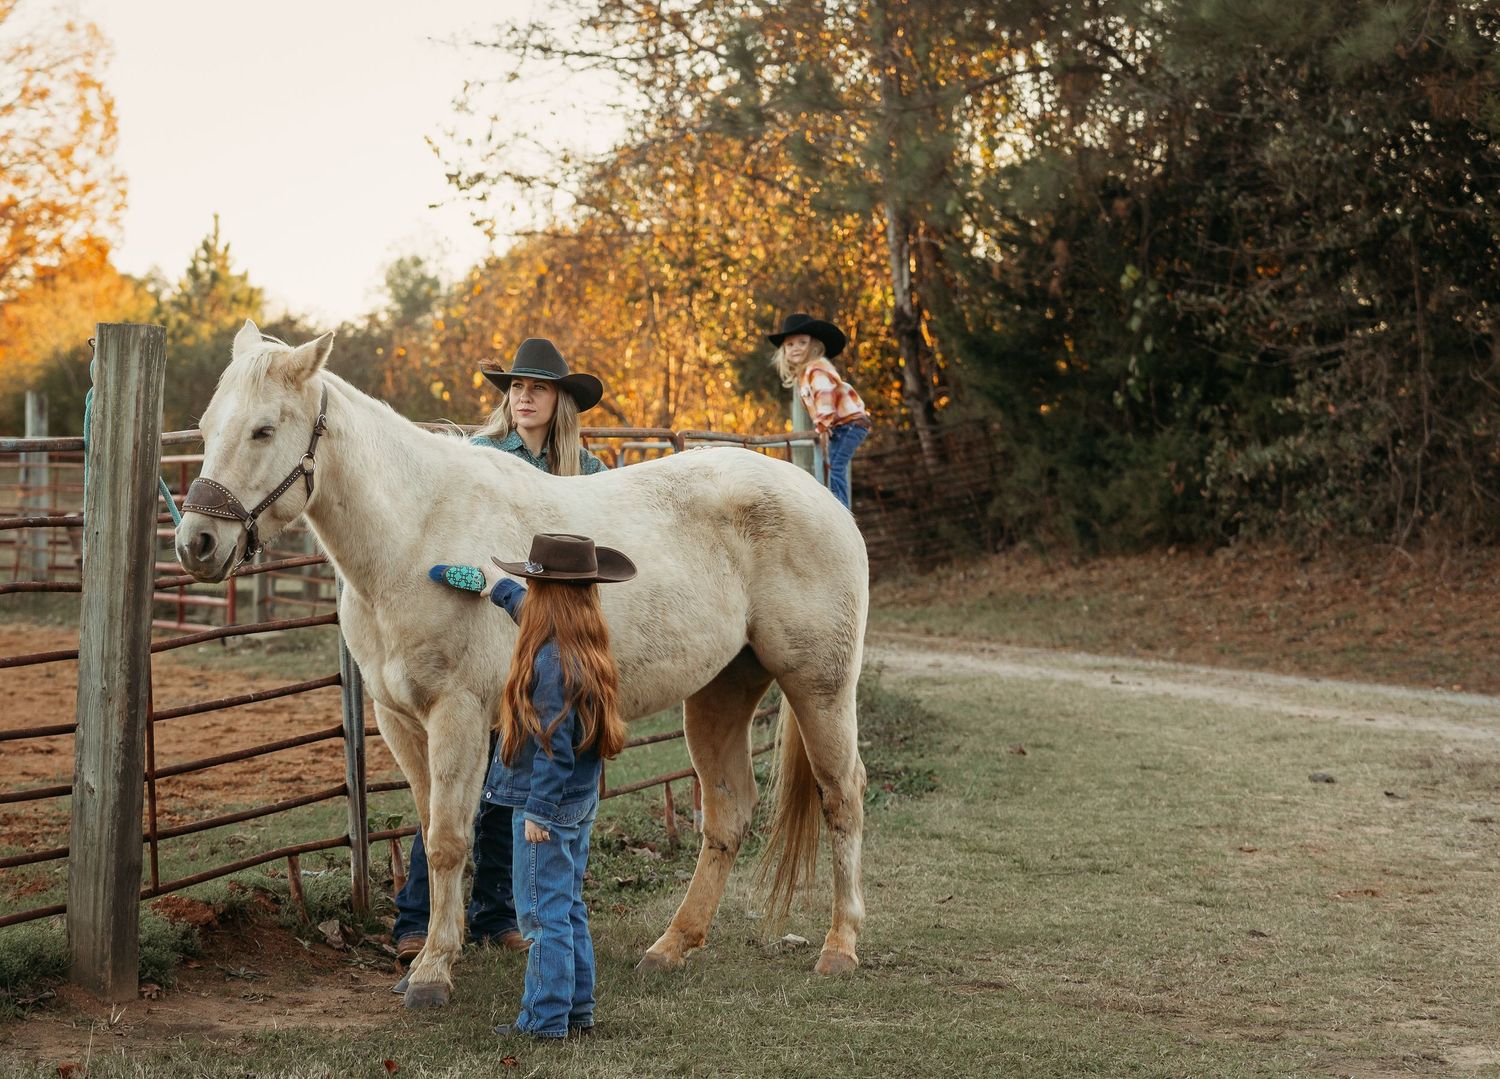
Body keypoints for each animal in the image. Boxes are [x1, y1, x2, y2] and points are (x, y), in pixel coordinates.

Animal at [174, 321, 869, 1007]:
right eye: (206, 428)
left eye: (264, 429)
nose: (196, 543)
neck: (415, 537)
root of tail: (822, 499)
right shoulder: (399, 720)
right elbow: (434, 827)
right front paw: (431, 949)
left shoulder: (457, 714)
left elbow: (449, 840)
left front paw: (431, 973)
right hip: (720, 693)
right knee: (727, 813)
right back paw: (672, 946)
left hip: (820, 688)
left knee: (842, 796)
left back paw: (839, 949)